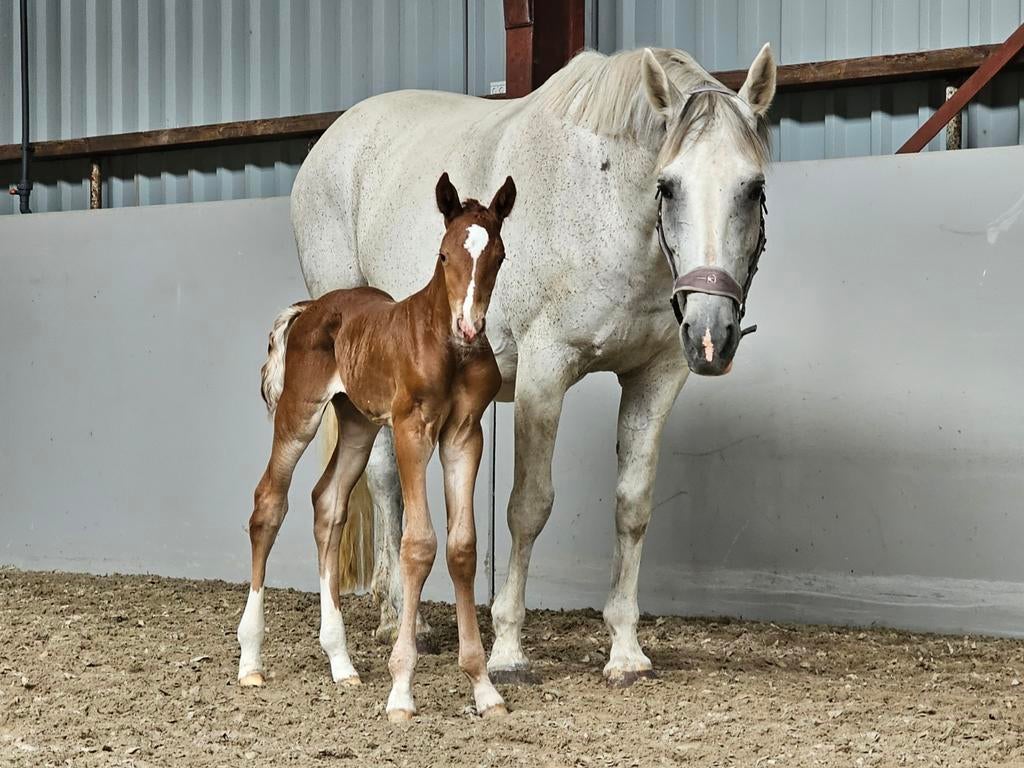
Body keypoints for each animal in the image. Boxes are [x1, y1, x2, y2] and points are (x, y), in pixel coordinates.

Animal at [238, 172, 517, 720]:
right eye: (444, 255)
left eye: (497, 256)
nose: (469, 328)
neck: (446, 346)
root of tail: (310, 308)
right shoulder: (412, 429)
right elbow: (419, 544)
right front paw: (401, 691)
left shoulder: (464, 435)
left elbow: (462, 547)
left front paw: (483, 688)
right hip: (300, 413)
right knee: (269, 503)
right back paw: (251, 661)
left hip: (357, 424)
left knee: (327, 503)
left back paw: (341, 662)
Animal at [290, 44, 777, 686]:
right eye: (668, 186)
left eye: (753, 188)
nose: (710, 335)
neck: (604, 205)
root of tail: (330, 144)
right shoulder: (546, 373)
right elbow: (529, 506)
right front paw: (507, 650)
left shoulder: (655, 377)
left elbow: (633, 505)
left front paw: (625, 651)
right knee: (385, 482)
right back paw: (400, 621)